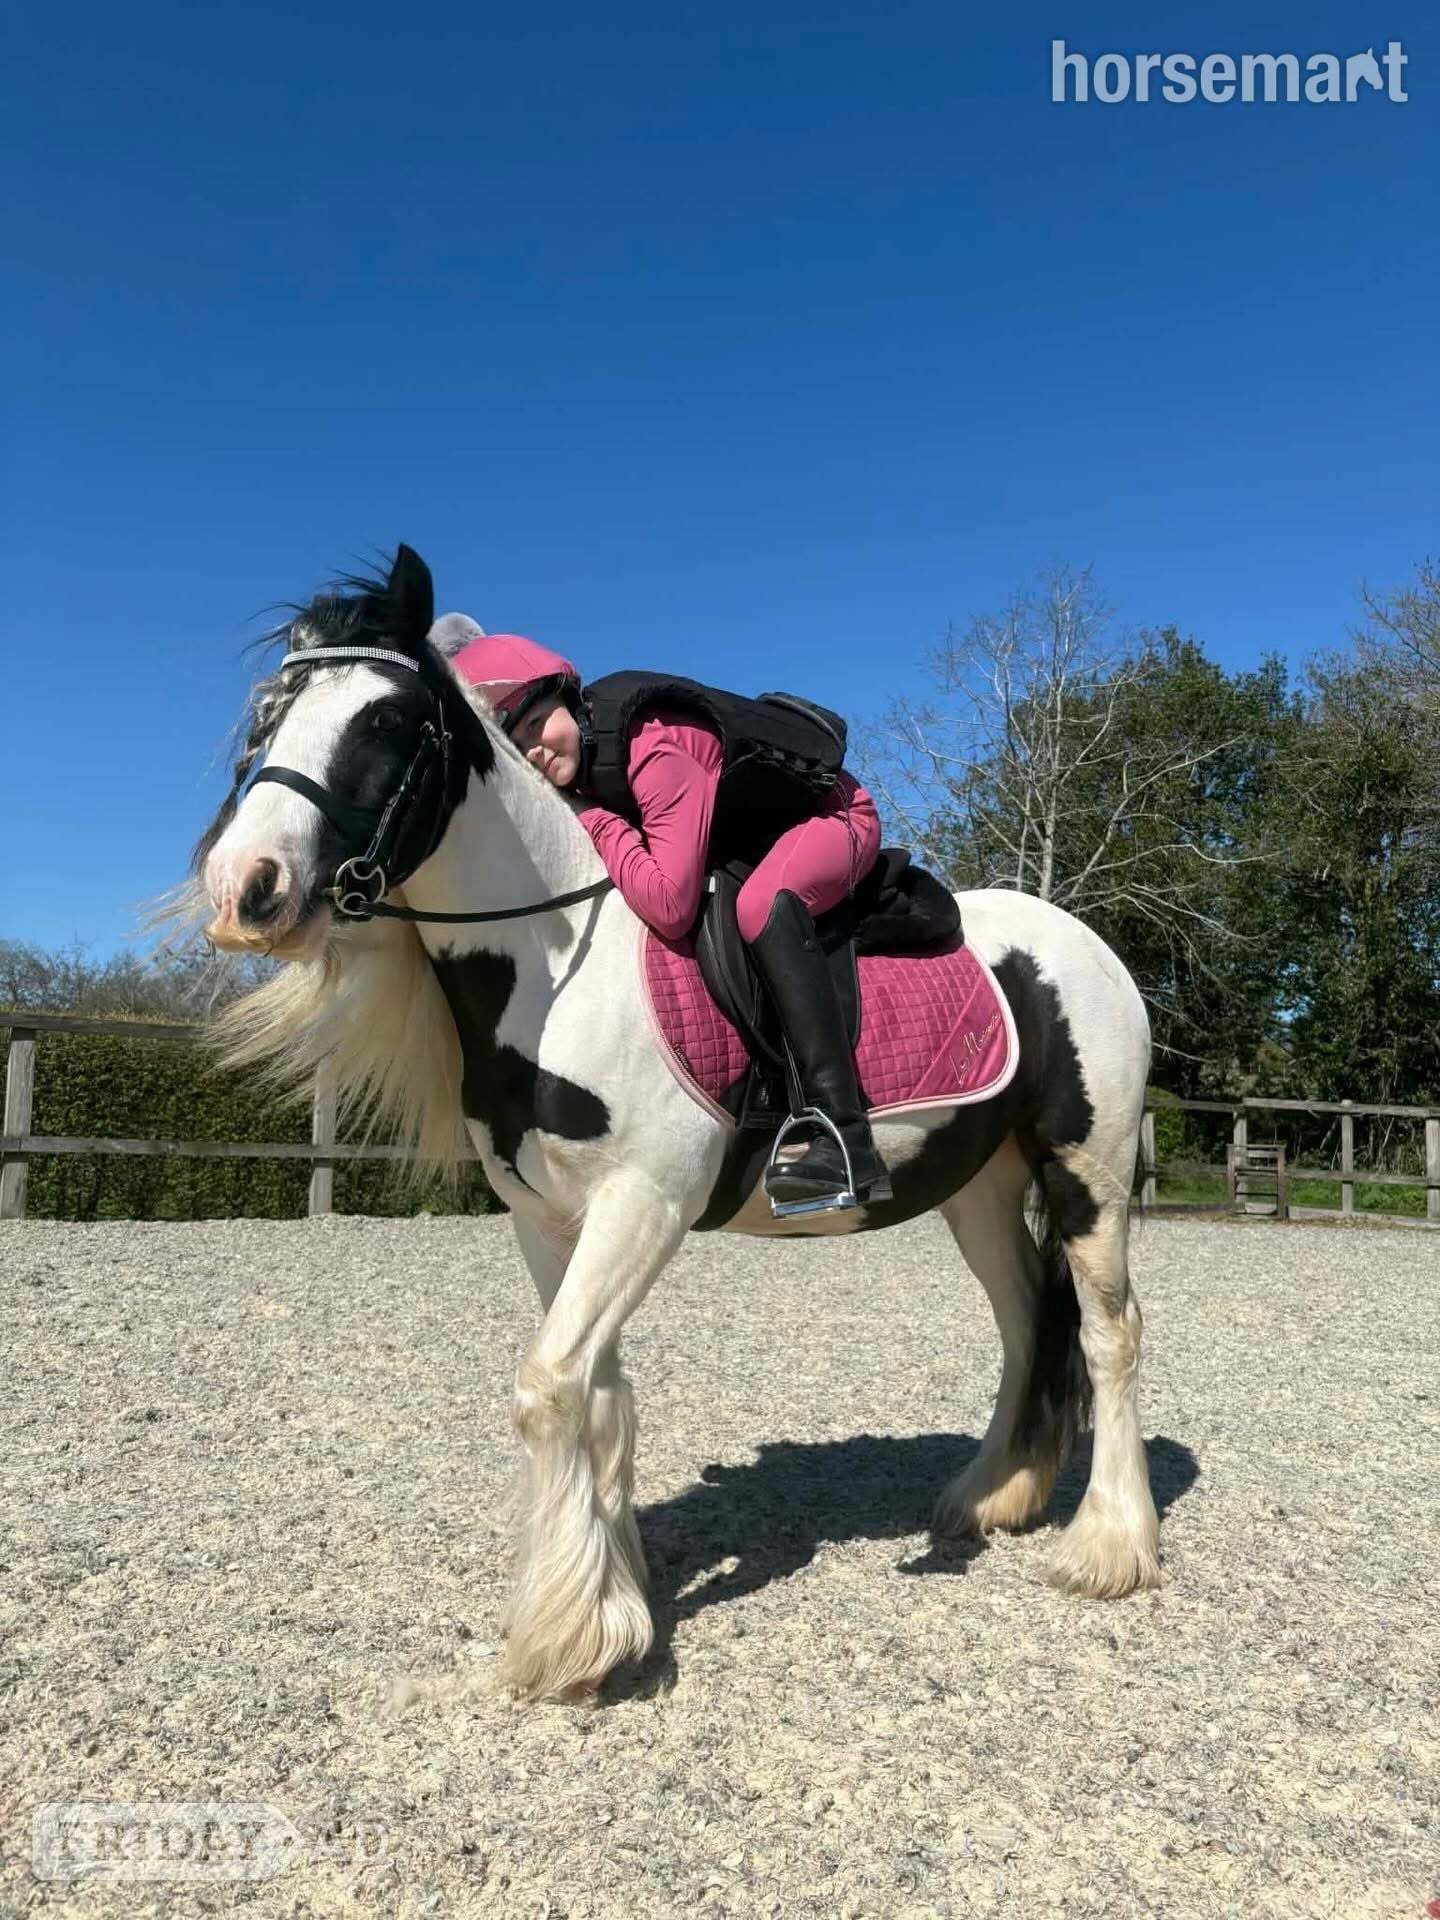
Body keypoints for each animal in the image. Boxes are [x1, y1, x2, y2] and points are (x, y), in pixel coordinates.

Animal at [191, 545, 1162, 1701]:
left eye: (385, 720)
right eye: (270, 716)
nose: (245, 890)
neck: (555, 971)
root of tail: (1084, 944)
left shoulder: (643, 1203)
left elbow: (552, 1386)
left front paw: (571, 1641)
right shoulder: (547, 1221)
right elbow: (597, 1393)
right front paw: (618, 1600)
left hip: (1085, 1170)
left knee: (1107, 1334)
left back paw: (1109, 1549)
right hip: (979, 1185)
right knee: (1025, 1327)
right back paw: (990, 1498)